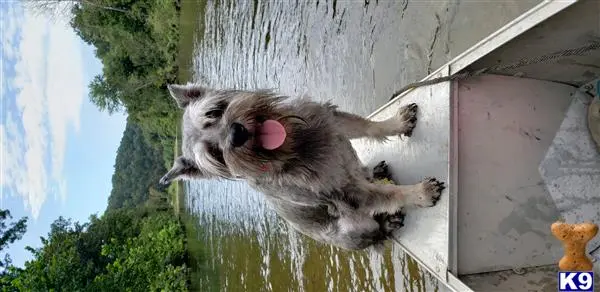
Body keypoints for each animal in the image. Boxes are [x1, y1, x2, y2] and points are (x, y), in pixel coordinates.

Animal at [159, 83, 446, 252]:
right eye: (215, 154)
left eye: (214, 112)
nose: (236, 134)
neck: (293, 147)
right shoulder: (348, 196)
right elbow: (389, 195)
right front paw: (421, 193)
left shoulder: (332, 122)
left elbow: (368, 127)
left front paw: (398, 122)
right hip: (351, 228)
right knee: (374, 232)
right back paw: (387, 222)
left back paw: (375, 172)